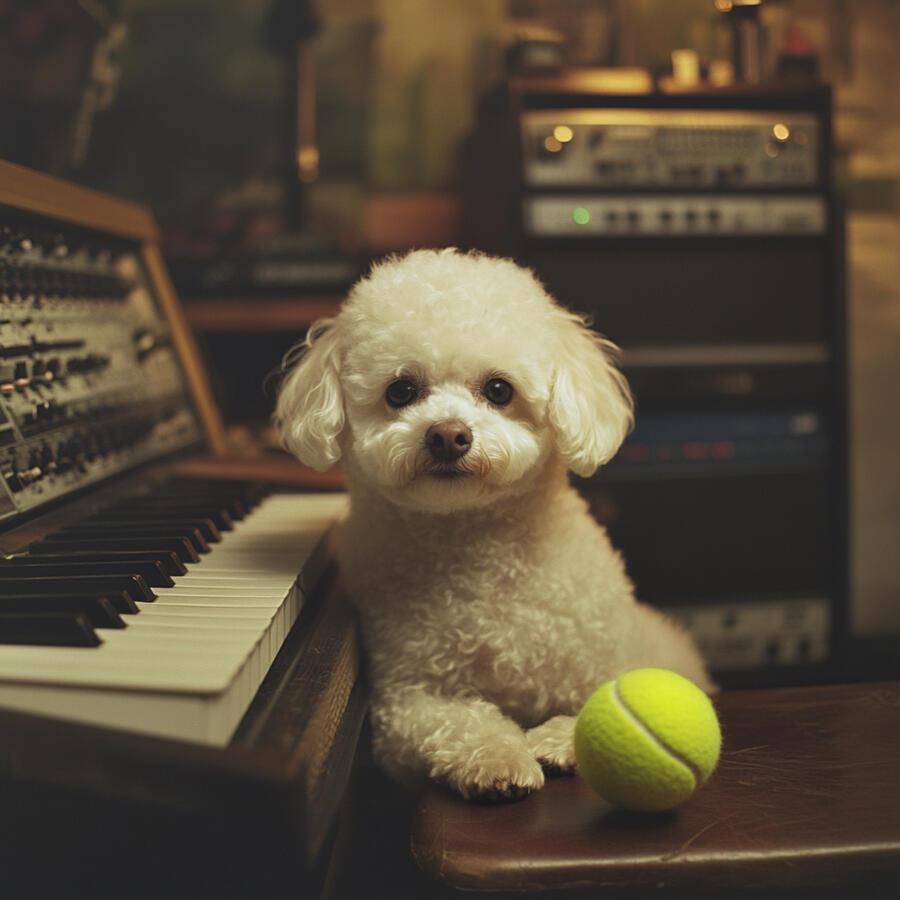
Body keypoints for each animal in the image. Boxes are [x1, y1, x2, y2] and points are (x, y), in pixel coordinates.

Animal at [278, 248, 712, 800]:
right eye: (401, 391)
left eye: (499, 389)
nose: (447, 435)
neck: (477, 549)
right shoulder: (406, 701)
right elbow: (459, 722)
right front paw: (498, 759)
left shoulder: (607, 660)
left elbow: (601, 695)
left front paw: (563, 739)